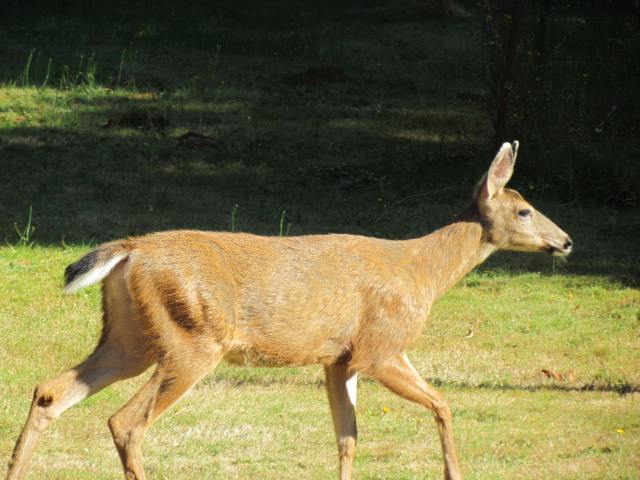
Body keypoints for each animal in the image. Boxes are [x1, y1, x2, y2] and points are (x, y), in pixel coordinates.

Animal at [6, 141, 573, 480]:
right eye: (524, 210)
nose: (565, 241)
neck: (423, 274)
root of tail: (131, 250)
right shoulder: (380, 347)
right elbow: (442, 405)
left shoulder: (340, 359)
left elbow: (348, 436)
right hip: (192, 337)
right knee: (125, 421)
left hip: (131, 336)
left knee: (50, 391)